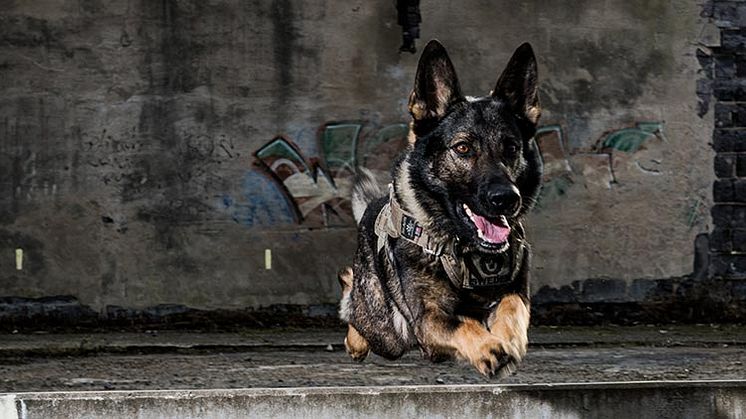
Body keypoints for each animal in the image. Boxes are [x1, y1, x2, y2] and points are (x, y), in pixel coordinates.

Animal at [338, 41, 540, 378]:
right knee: (356, 305)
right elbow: (464, 325)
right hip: (384, 327)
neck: (466, 249)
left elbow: (511, 306)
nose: (506, 198)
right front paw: (491, 348)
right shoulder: (429, 318)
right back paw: (354, 338)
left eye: (511, 147)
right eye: (462, 148)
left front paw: (508, 338)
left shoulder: (516, 290)